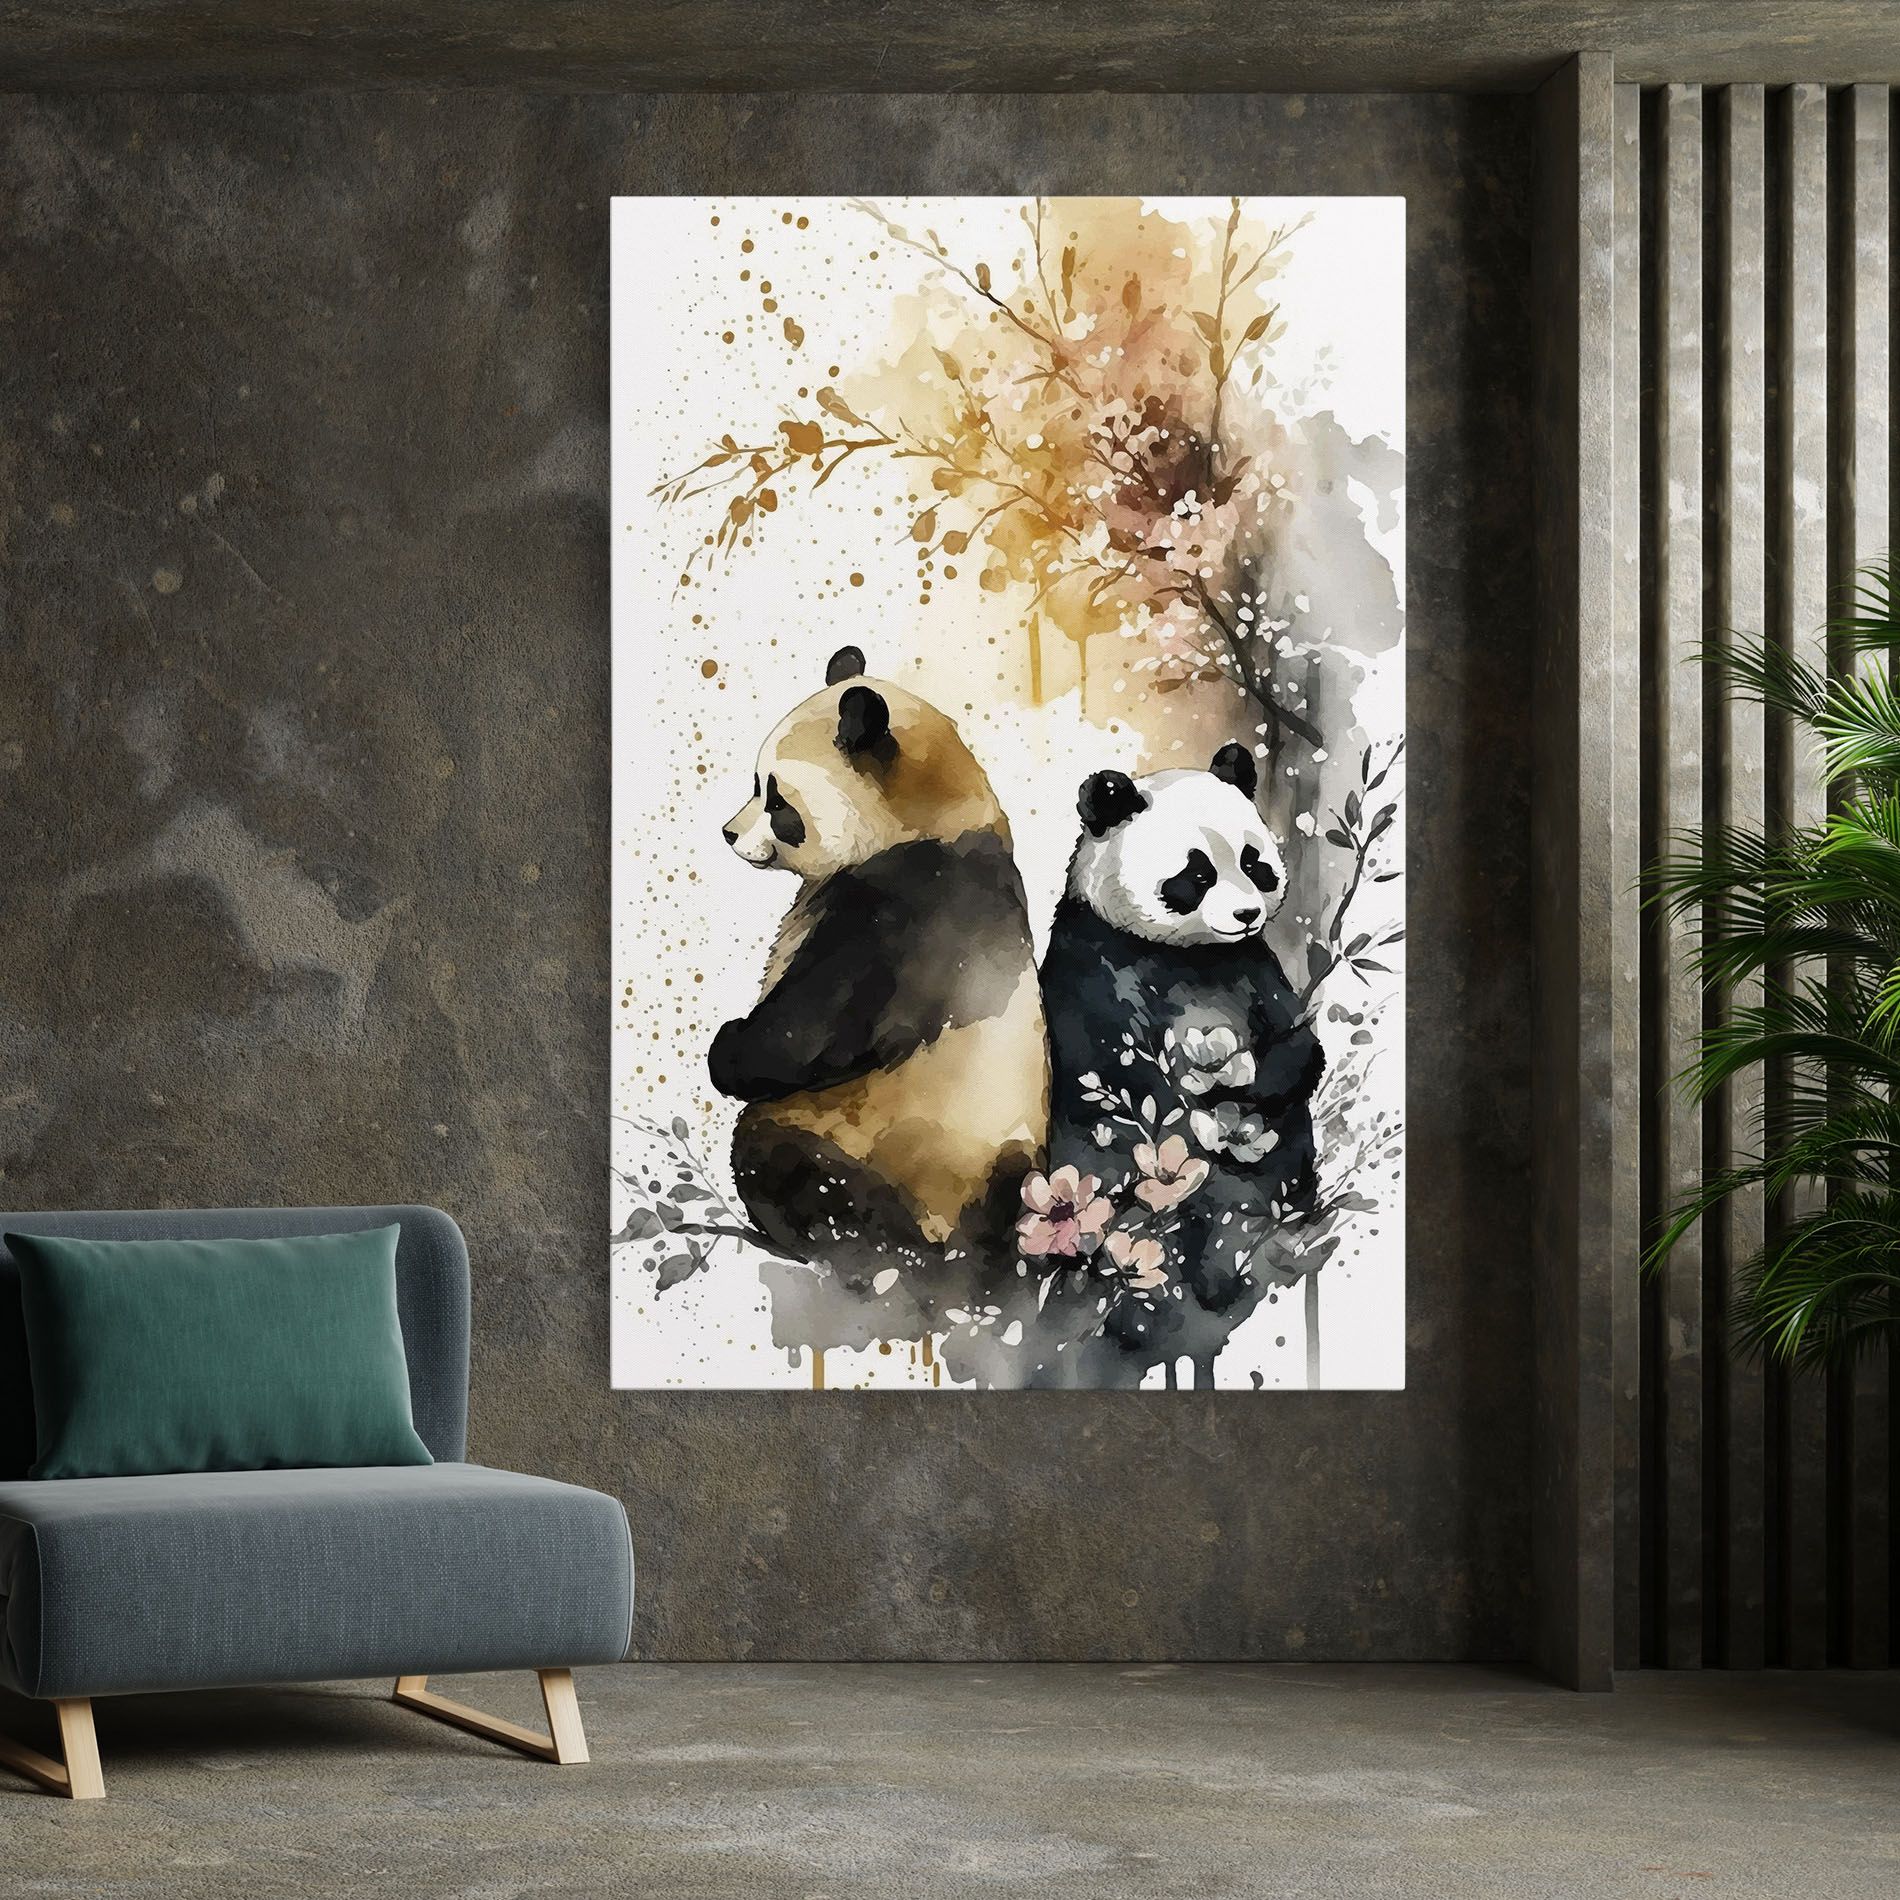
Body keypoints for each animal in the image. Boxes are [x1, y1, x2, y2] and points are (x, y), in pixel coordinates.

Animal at [709, 645, 1049, 1341]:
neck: (935, 814)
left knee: (790, 1167)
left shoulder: (909, 908)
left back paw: (878, 1257)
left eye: (776, 799)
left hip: (876, 1147)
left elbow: (815, 1029)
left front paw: (725, 1050)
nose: (728, 833)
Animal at [1035, 741, 1325, 1385]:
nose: (1246, 914)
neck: (1188, 954)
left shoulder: (1250, 965)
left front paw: (1245, 1093)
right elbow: (1116, 1073)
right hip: (1107, 1195)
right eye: (1196, 875)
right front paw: (1201, 1108)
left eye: (1254, 862)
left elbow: (1299, 1047)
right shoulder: (1095, 962)